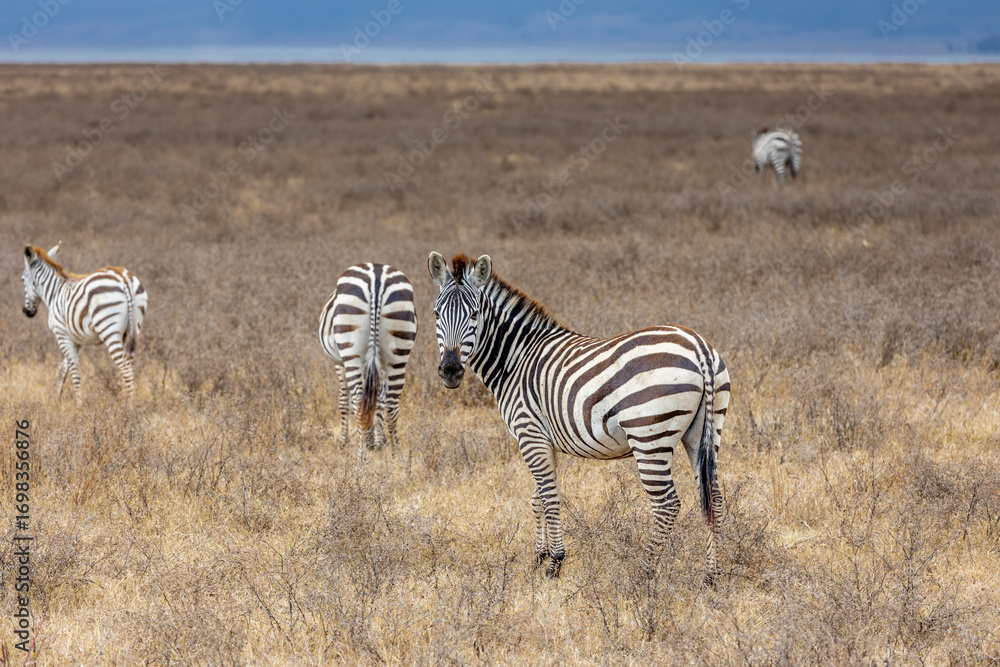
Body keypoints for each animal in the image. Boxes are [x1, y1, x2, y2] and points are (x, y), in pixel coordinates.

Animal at [21, 243, 147, 401]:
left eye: (22, 280)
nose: (26, 312)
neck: (54, 292)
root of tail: (124, 278)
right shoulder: (77, 341)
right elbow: (63, 369)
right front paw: (58, 401)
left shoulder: (62, 335)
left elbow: (74, 372)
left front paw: (78, 404)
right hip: (134, 327)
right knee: (131, 365)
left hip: (108, 328)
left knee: (125, 369)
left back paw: (128, 405)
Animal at [319, 263, 417, 451]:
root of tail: (376, 277)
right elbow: (378, 400)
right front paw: (378, 440)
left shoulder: (340, 363)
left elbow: (344, 401)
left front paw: (345, 441)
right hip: (398, 349)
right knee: (391, 404)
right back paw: (395, 453)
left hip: (351, 350)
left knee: (358, 402)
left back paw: (361, 453)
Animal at [428, 252, 730, 582]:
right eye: (436, 314)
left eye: (474, 315)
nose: (450, 371)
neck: (516, 359)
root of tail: (698, 346)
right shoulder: (544, 440)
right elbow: (537, 499)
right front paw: (539, 556)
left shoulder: (529, 434)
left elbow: (549, 497)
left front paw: (555, 563)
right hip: (704, 431)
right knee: (713, 496)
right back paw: (712, 576)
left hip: (649, 435)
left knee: (667, 504)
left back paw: (645, 573)